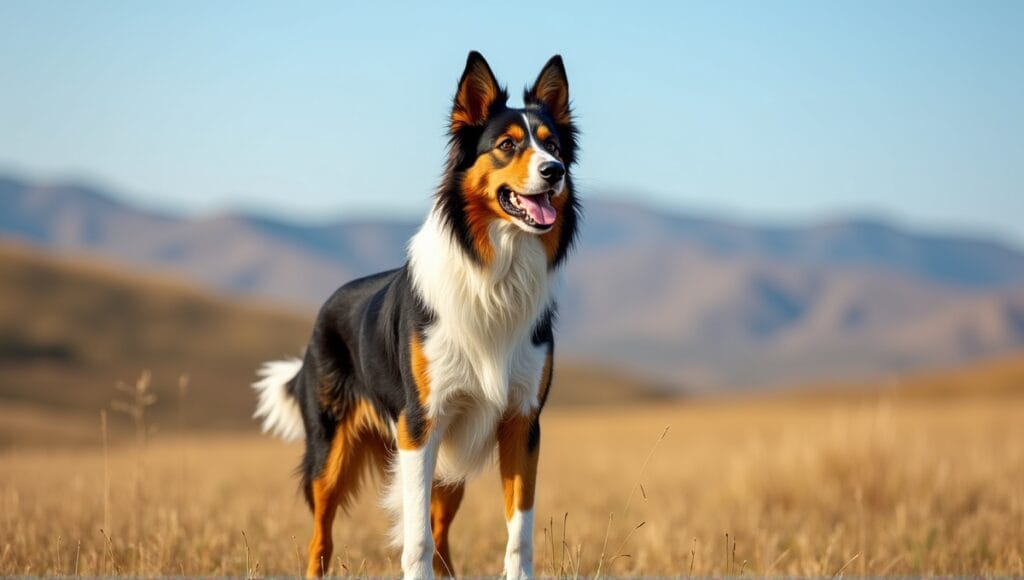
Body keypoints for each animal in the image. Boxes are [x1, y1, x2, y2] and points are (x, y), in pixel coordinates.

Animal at [252, 52, 581, 577]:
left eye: (553, 146)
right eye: (507, 145)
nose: (555, 171)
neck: (495, 272)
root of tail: (324, 309)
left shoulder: (521, 421)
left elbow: (519, 533)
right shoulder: (419, 424)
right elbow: (416, 538)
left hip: (450, 460)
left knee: (442, 531)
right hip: (330, 454)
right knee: (321, 537)